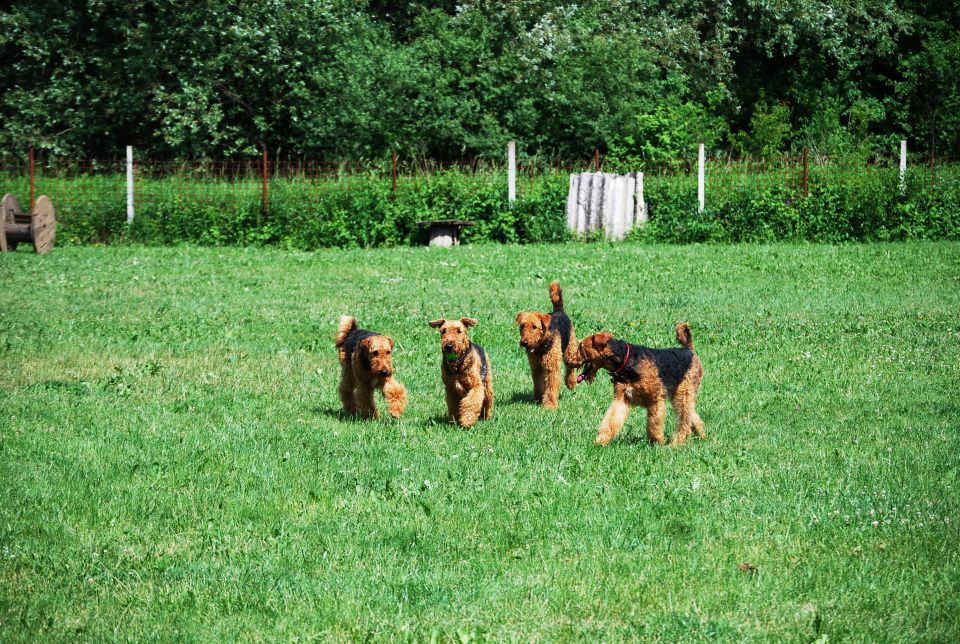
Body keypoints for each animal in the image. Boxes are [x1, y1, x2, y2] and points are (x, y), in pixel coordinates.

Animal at [576, 322, 704, 448]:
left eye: (581, 346)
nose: (571, 360)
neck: (625, 361)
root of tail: (688, 349)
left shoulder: (655, 400)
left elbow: (654, 425)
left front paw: (657, 443)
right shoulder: (621, 399)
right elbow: (611, 420)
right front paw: (600, 441)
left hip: (684, 393)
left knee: (684, 420)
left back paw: (676, 443)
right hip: (679, 395)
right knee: (692, 415)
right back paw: (702, 435)